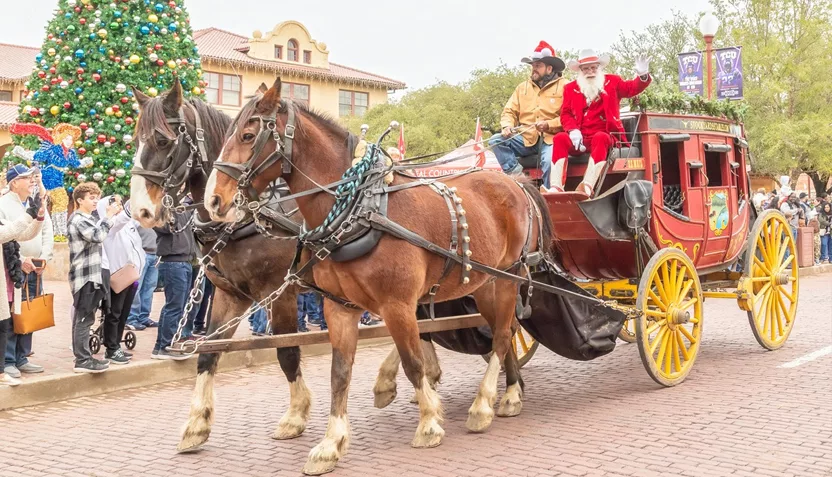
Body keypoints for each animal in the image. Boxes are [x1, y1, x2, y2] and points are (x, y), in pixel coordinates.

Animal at [128, 83, 314, 452]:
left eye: (162, 140)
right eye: (135, 139)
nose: (140, 210)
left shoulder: (280, 292)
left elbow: (287, 351)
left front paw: (296, 415)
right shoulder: (230, 293)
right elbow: (208, 352)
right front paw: (197, 424)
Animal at [205, 78, 552, 472]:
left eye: (248, 135)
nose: (214, 200)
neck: (361, 210)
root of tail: (517, 182)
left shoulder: (396, 303)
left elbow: (413, 361)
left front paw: (429, 423)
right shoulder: (339, 307)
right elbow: (340, 373)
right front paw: (330, 443)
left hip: (509, 276)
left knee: (503, 334)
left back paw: (487, 403)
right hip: (482, 282)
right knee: (502, 330)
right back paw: (510, 392)